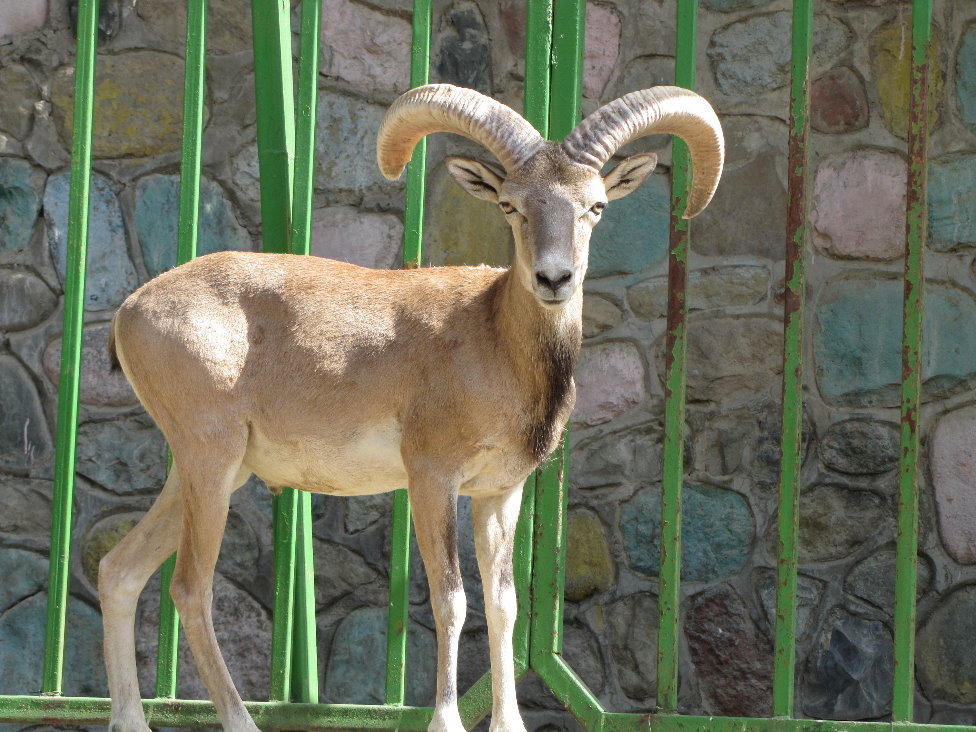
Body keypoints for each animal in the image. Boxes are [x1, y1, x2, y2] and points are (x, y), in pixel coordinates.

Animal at [98, 83, 723, 732]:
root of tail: (130, 313)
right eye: (511, 205)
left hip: (204, 471)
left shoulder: (499, 494)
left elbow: (502, 603)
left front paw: (509, 722)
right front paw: (445, 719)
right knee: (190, 588)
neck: (492, 340)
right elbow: (450, 598)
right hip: (210, 460)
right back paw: (239, 718)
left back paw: (130, 719)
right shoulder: (431, 478)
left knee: (119, 571)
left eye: (595, 206)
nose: (555, 278)